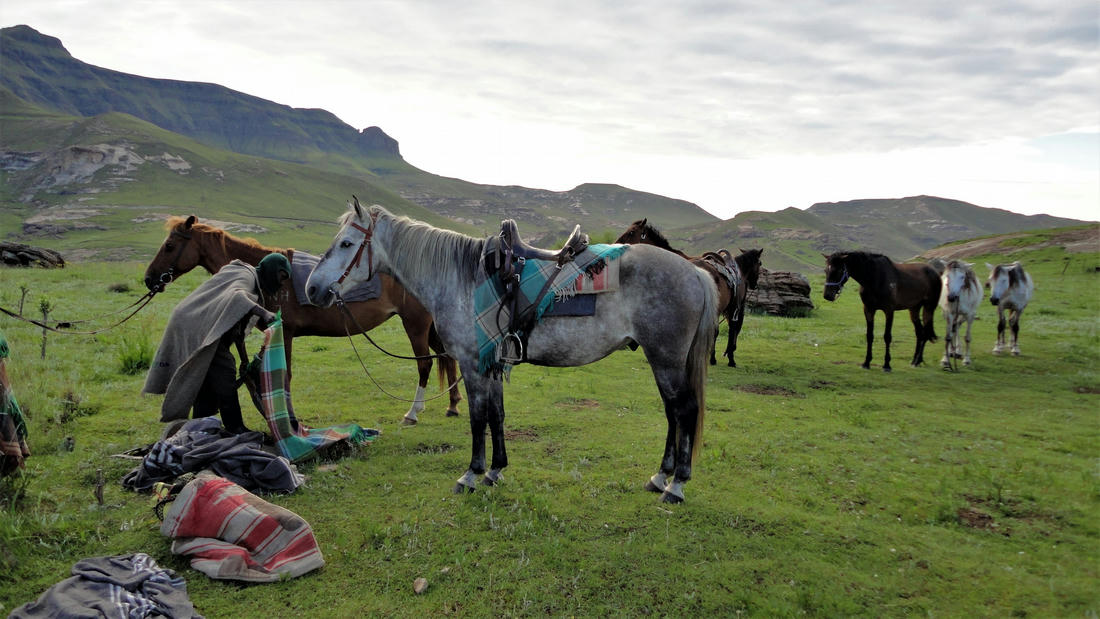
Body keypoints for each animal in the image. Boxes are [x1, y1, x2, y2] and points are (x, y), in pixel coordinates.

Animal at [141, 215, 459, 424]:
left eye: (169, 246)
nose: (149, 278)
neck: (267, 274)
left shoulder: (286, 332)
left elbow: (286, 374)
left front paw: (290, 417)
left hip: (415, 325)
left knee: (426, 364)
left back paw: (413, 413)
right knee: (448, 357)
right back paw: (453, 405)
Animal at [305, 202, 717, 503]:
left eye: (346, 244)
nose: (311, 288)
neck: (462, 277)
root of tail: (695, 272)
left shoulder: (473, 365)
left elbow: (477, 419)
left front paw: (471, 474)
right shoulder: (492, 364)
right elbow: (497, 416)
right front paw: (495, 470)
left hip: (666, 359)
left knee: (684, 411)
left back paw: (676, 485)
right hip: (663, 360)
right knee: (673, 412)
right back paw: (659, 476)